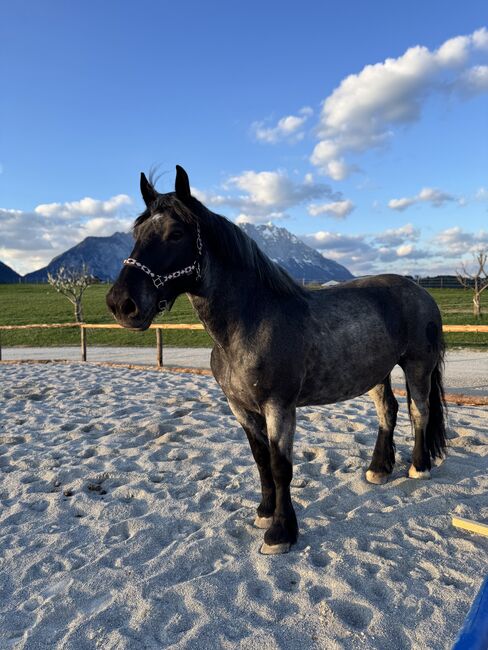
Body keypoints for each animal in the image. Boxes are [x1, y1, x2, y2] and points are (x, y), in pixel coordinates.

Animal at [106, 165, 447, 555]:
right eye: (137, 233)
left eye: (175, 234)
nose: (122, 304)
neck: (251, 322)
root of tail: (420, 291)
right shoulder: (241, 408)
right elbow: (261, 462)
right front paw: (265, 513)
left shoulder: (279, 407)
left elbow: (281, 465)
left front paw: (281, 532)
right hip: (377, 372)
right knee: (387, 411)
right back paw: (379, 469)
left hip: (417, 366)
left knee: (419, 411)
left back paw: (419, 467)